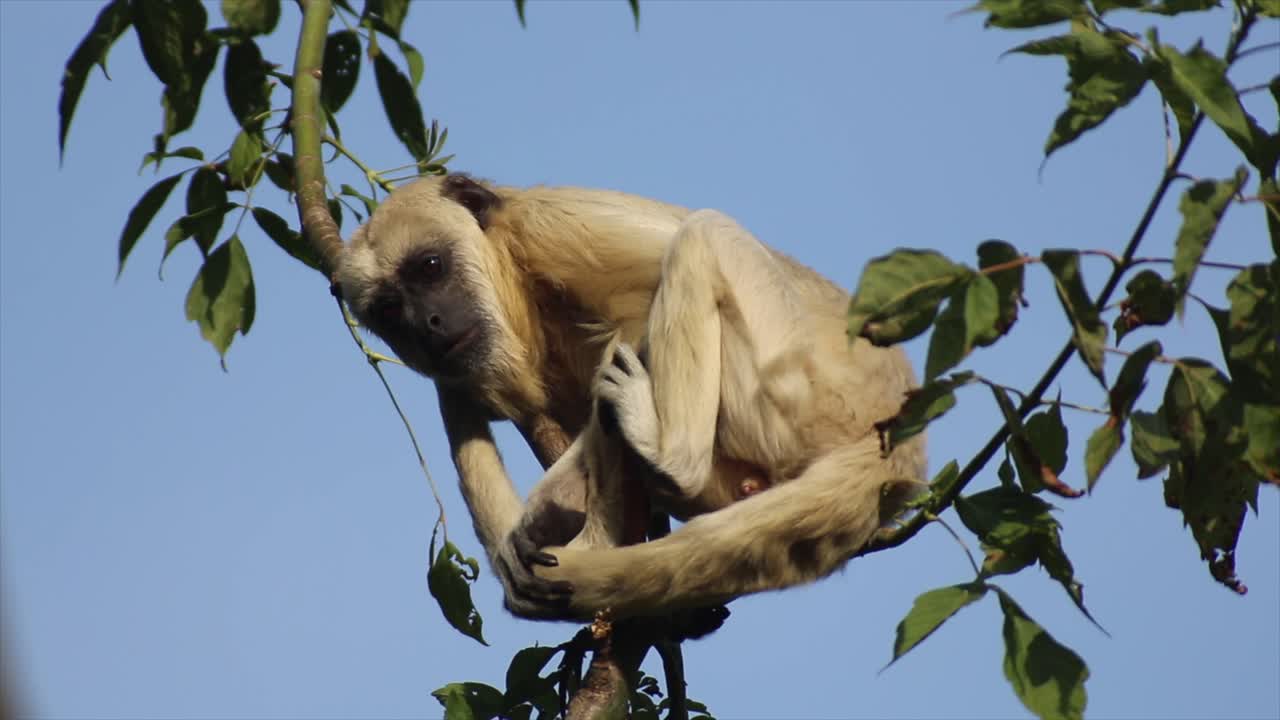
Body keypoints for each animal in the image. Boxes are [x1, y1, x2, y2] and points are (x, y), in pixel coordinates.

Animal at [336, 173, 926, 621]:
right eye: (391, 310)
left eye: (430, 268)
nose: (429, 325)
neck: (518, 281)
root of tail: (899, 439)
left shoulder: (556, 226)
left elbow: (640, 312)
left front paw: (557, 500)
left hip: (794, 386)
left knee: (702, 235)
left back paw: (670, 462)